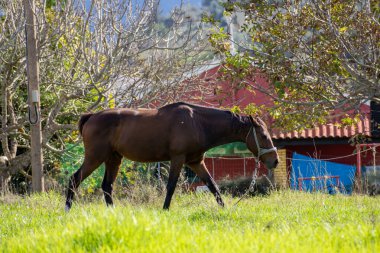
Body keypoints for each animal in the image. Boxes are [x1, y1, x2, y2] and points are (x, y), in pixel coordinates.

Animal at [64, 102, 280, 211]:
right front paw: (165, 210)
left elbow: (213, 185)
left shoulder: (195, 162)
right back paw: (67, 209)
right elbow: (171, 186)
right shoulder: (178, 159)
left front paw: (224, 208)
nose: (275, 161)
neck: (197, 123)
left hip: (113, 159)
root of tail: (91, 116)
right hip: (95, 157)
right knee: (74, 179)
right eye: (263, 135)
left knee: (107, 186)